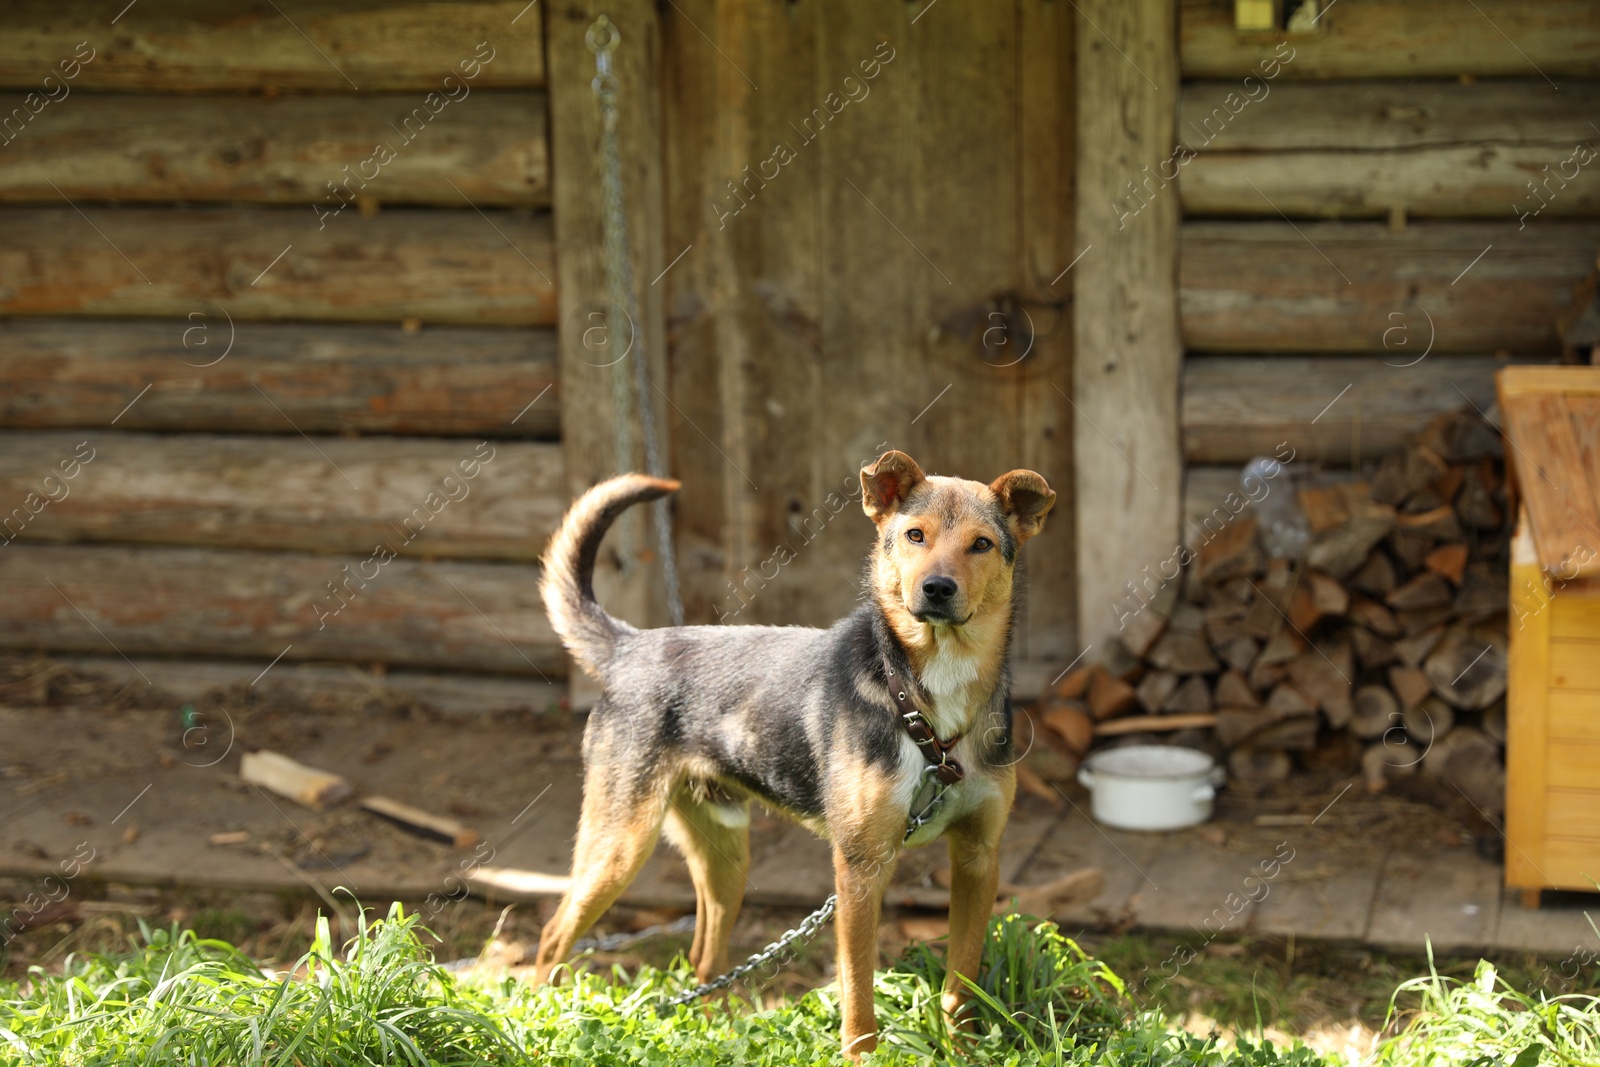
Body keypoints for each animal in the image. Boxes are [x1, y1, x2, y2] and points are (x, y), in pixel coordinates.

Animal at [531, 451, 1056, 1062]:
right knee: (553, 936)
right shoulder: (860, 869)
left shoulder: (977, 858)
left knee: (703, 959)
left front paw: (964, 1052)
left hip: (727, 858)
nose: (937, 589)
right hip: (619, 845)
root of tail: (630, 647)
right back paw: (545, 1021)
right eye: (915, 536)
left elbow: (960, 986)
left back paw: (719, 1035)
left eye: (981, 544)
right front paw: (862, 1057)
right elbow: (858, 994)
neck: (923, 699)